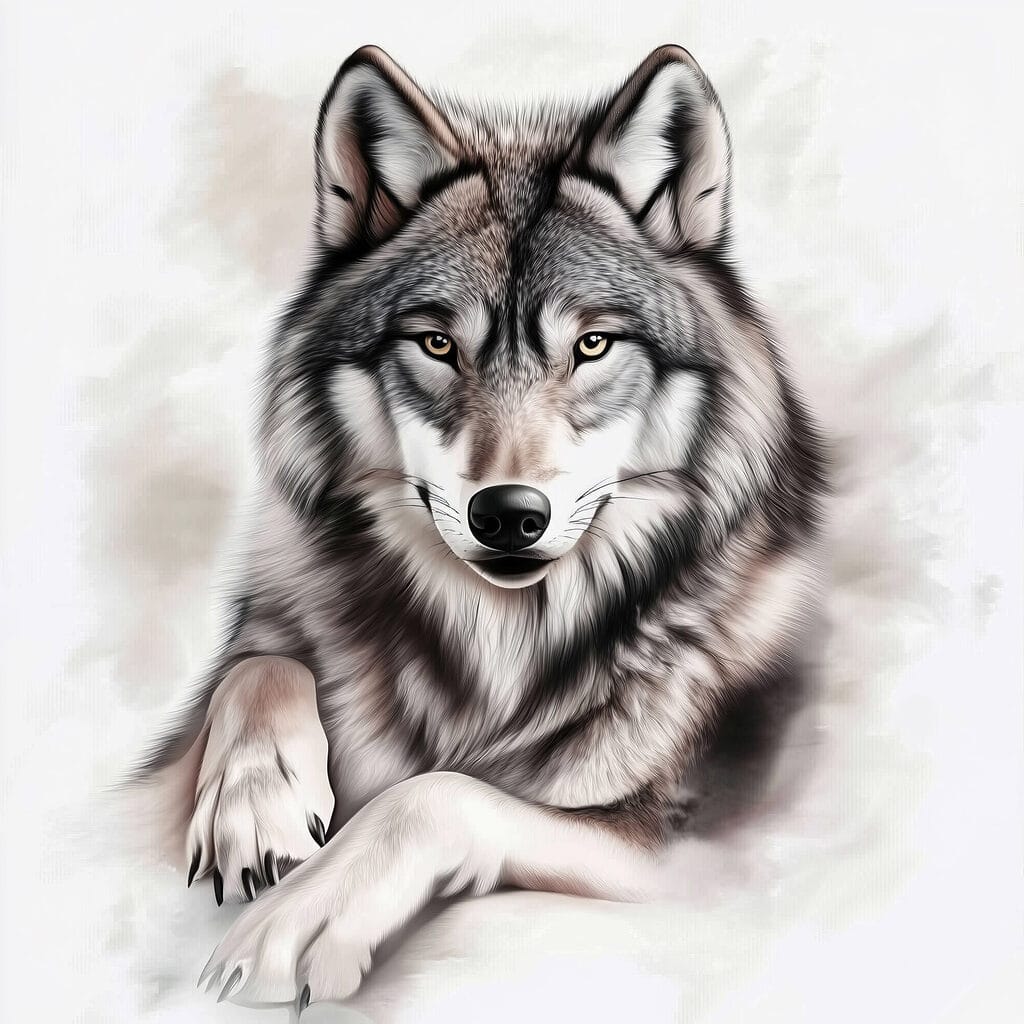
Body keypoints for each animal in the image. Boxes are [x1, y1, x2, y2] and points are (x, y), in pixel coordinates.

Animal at [136, 43, 826, 1010]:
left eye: (592, 346)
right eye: (436, 345)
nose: (508, 515)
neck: (496, 645)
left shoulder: (685, 852)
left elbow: (437, 793)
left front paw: (299, 918)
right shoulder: (268, 620)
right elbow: (261, 665)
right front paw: (256, 809)